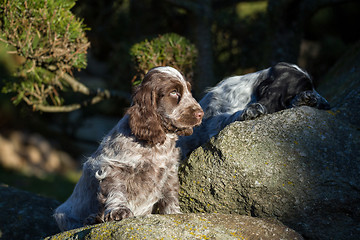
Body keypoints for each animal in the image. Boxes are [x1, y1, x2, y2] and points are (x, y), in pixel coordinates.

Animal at [54, 65, 204, 231]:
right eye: (174, 92)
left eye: (189, 90)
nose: (201, 114)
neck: (157, 144)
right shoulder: (114, 167)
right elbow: (116, 191)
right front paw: (119, 211)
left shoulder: (169, 171)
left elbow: (170, 194)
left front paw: (174, 213)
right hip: (62, 216)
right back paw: (93, 219)